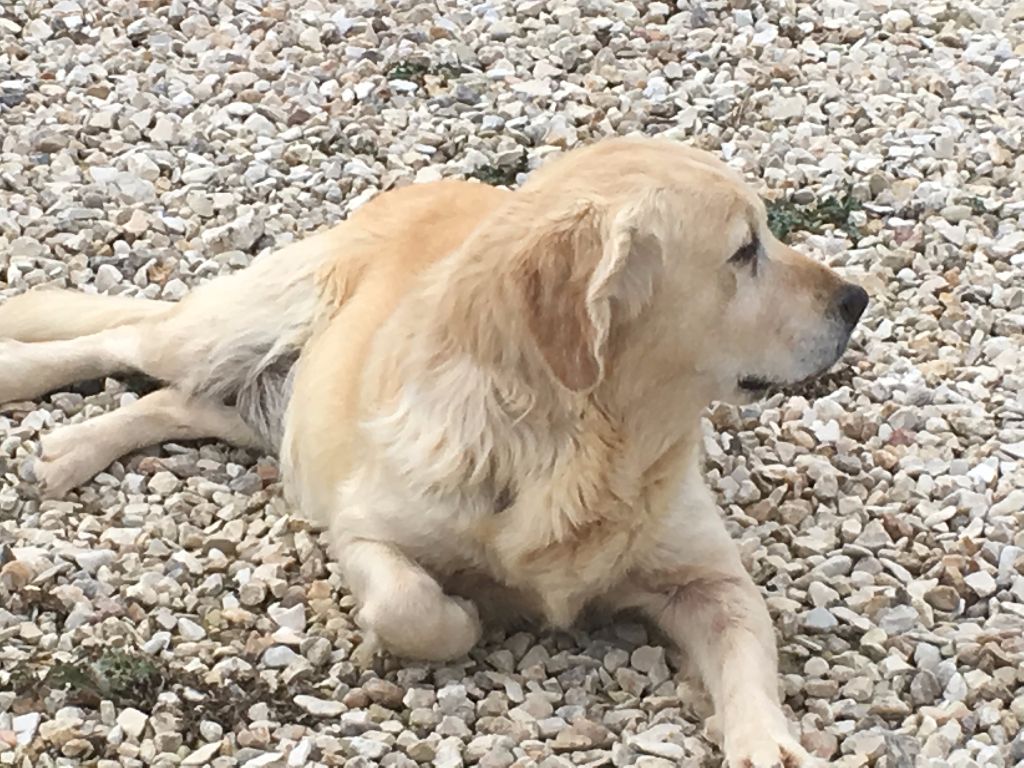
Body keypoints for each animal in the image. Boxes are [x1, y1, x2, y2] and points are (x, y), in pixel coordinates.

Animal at [0, 137, 867, 767]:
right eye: (744, 250)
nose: (857, 300)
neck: (581, 442)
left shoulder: (709, 580)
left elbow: (748, 658)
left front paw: (769, 746)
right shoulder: (363, 529)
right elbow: (411, 606)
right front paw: (467, 613)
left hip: (271, 411)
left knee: (175, 399)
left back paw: (76, 446)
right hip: (230, 325)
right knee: (125, 336)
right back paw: (45, 409)